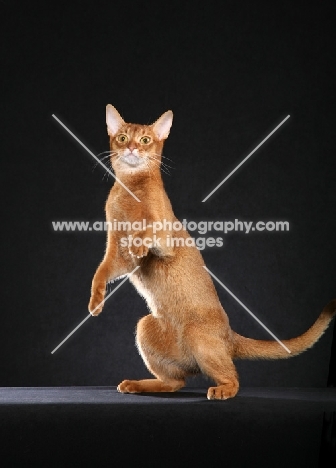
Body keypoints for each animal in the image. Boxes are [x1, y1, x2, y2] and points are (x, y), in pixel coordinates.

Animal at [89, 105, 336, 398]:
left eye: (146, 140)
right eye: (123, 137)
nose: (132, 148)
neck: (130, 190)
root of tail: (229, 336)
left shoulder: (165, 238)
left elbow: (150, 230)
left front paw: (140, 241)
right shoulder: (119, 254)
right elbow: (101, 271)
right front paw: (95, 303)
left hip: (197, 335)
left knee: (233, 377)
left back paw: (222, 390)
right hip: (145, 326)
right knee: (176, 382)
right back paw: (138, 384)